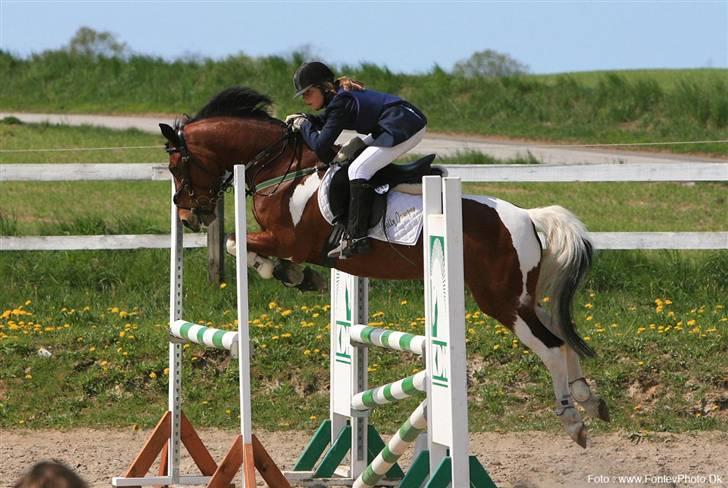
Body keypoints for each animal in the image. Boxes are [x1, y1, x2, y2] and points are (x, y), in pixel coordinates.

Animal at [160, 86, 610, 447]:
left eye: (178, 166)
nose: (188, 217)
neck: (282, 170)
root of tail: (528, 217)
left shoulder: (290, 240)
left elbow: (236, 243)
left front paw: (290, 274)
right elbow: (243, 247)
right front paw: (297, 276)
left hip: (501, 301)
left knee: (550, 346)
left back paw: (572, 419)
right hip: (519, 297)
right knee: (559, 334)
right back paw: (589, 398)